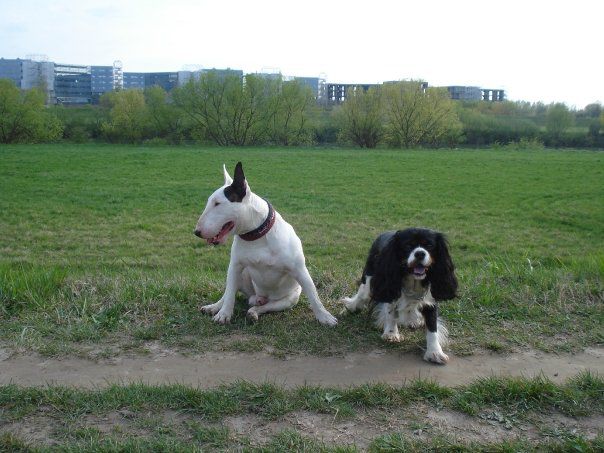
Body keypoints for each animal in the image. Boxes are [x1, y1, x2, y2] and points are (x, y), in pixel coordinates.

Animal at [342, 228, 456, 362]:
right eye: (408, 246)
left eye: (429, 246)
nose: (420, 253)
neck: (413, 281)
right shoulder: (389, 288)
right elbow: (391, 312)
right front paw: (391, 334)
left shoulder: (430, 300)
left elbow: (432, 327)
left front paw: (435, 352)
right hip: (368, 281)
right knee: (362, 296)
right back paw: (350, 308)